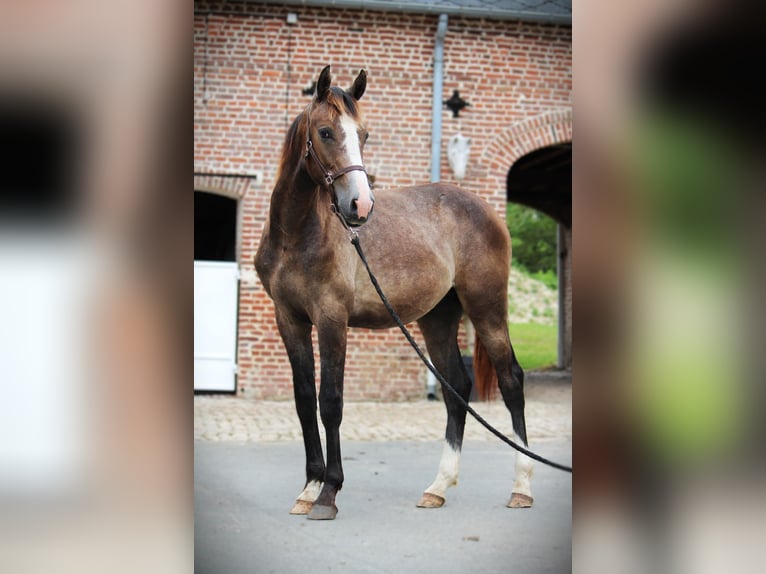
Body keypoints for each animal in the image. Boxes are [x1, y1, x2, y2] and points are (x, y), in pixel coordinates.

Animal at [258, 65, 536, 520]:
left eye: (364, 134)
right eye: (325, 132)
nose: (360, 206)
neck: (297, 234)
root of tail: (488, 211)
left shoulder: (332, 318)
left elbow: (330, 401)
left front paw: (329, 492)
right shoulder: (290, 319)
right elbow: (303, 400)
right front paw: (308, 488)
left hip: (487, 308)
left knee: (511, 381)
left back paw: (522, 487)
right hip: (439, 317)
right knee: (456, 388)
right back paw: (438, 487)